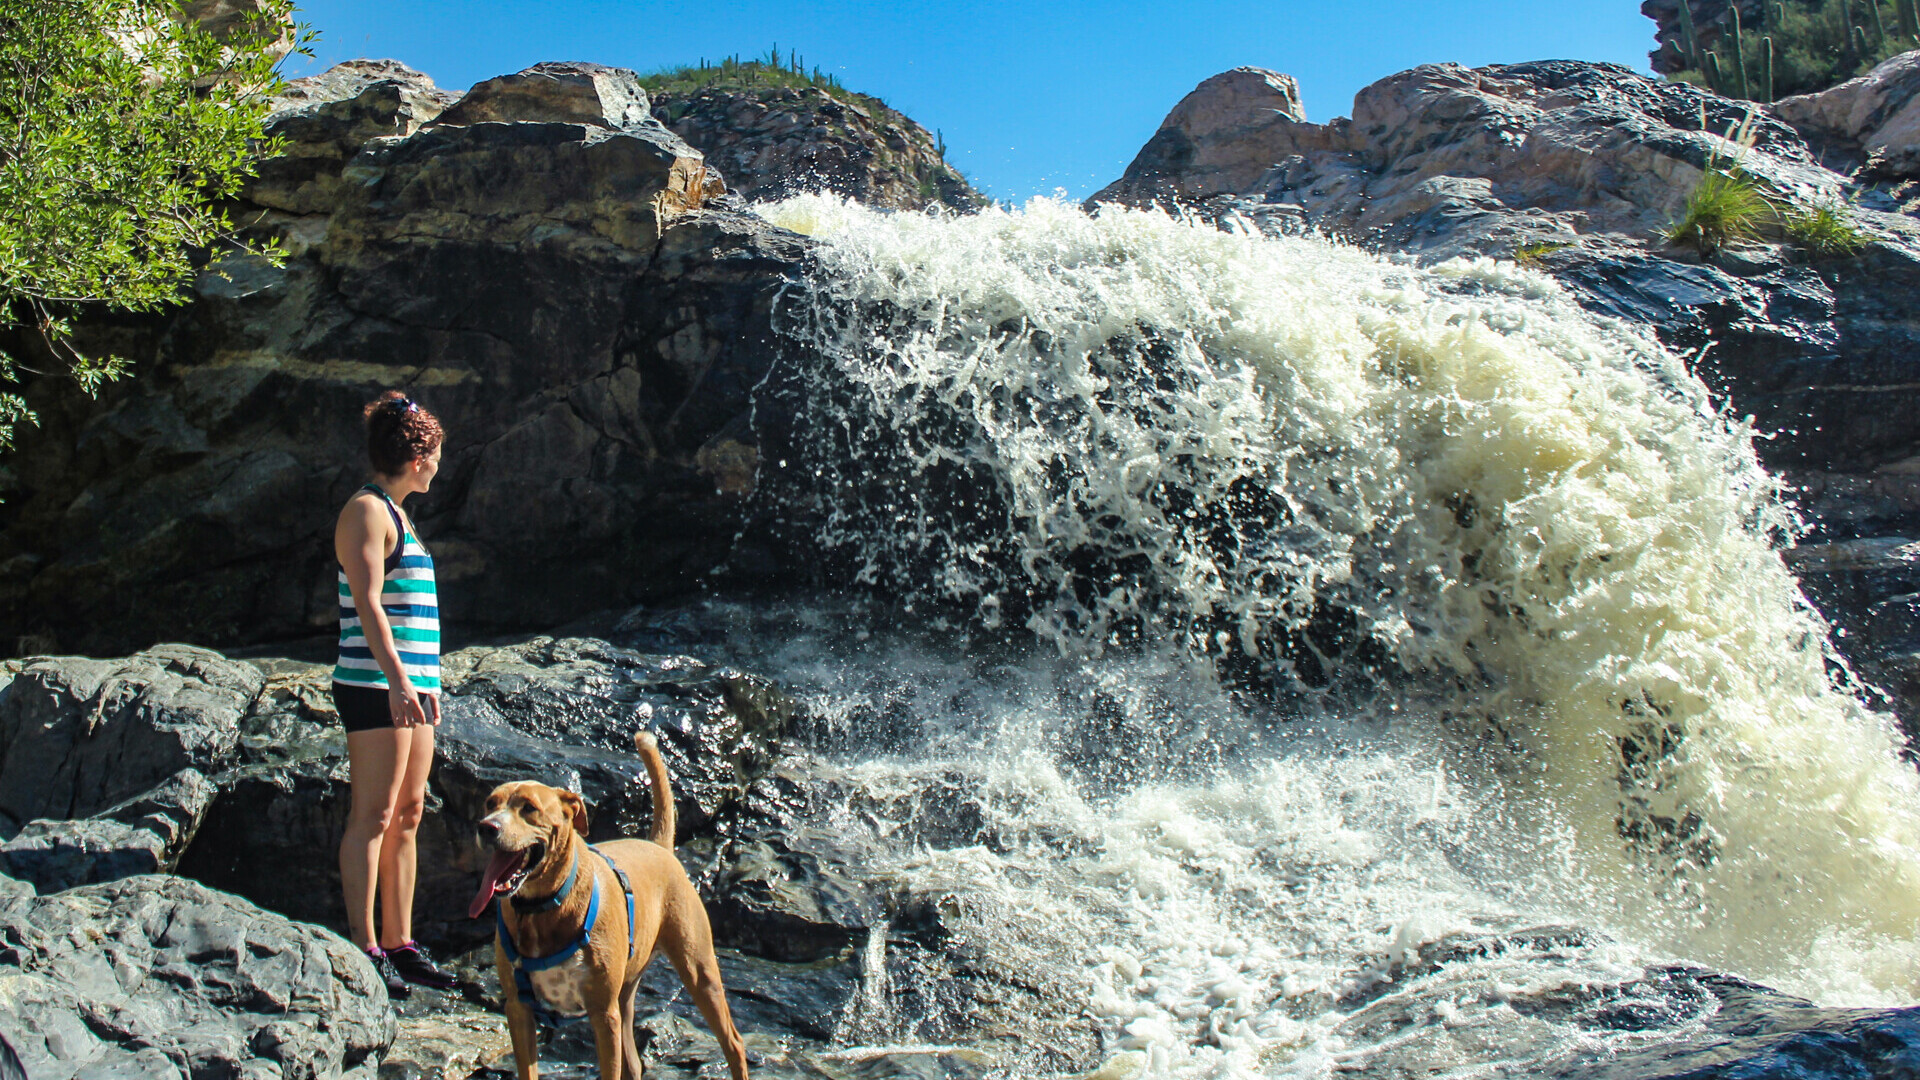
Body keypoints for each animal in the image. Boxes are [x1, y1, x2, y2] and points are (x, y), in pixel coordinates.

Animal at [472, 730, 748, 1076]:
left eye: (529, 808)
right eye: (490, 803)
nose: (486, 826)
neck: (543, 908)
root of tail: (660, 847)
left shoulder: (603, 1013)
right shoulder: (519, 1008)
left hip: (699, 969)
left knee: (733, 1043)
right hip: (627, 993)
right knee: (633, 1062)